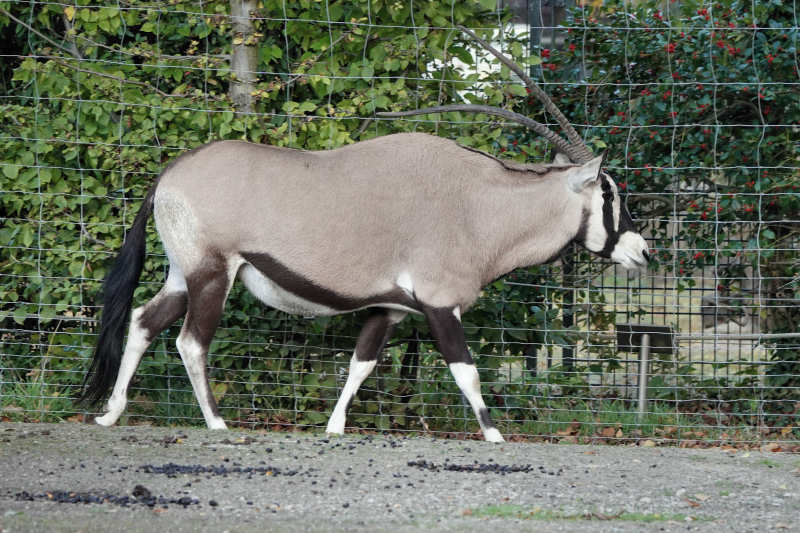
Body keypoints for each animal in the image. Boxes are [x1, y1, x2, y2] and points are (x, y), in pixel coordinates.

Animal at [79, 26, 648, 440]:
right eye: (608, 192)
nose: (642, 251)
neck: (479, 205)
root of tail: (170, 174)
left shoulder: (391, 308)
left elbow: (361, 365)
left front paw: (334, 428)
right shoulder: (440, 305)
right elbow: (465, 370)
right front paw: (494, 434)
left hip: (184, 274)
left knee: (143, 321)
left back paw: (110, 413)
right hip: (213, 274)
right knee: (190, 342)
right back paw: (216, 422)